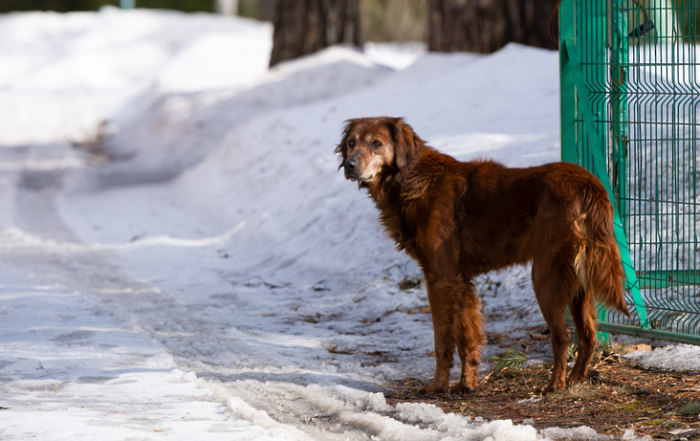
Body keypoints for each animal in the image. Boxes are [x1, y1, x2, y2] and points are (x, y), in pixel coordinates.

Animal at [334, 116, 628, 392]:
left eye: (376, 143)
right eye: (351, 143)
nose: (349, 165)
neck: (410, 178)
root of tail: (590, 184)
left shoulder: (440, 278)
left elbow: (442, 340)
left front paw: (437, 386)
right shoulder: (461, 281)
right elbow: (467, 338)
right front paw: (467, 384)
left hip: (546, 276)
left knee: (562, 337)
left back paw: (554, 386)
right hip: (579, 281)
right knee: (588, 336)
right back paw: (576, 381)